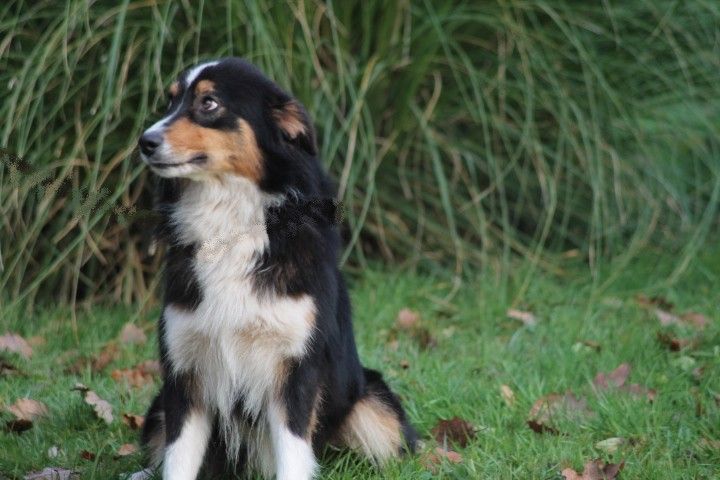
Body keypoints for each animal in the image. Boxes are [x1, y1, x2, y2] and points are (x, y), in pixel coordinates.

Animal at [137, 57, 416, 479]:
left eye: (209, 103)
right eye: (170, 101)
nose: (144, 141)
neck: (230, 221)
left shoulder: (294, 371)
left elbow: (293, 456)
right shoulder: (186, 372)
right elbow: (178, 461)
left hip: (375, 407)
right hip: (156, 411)